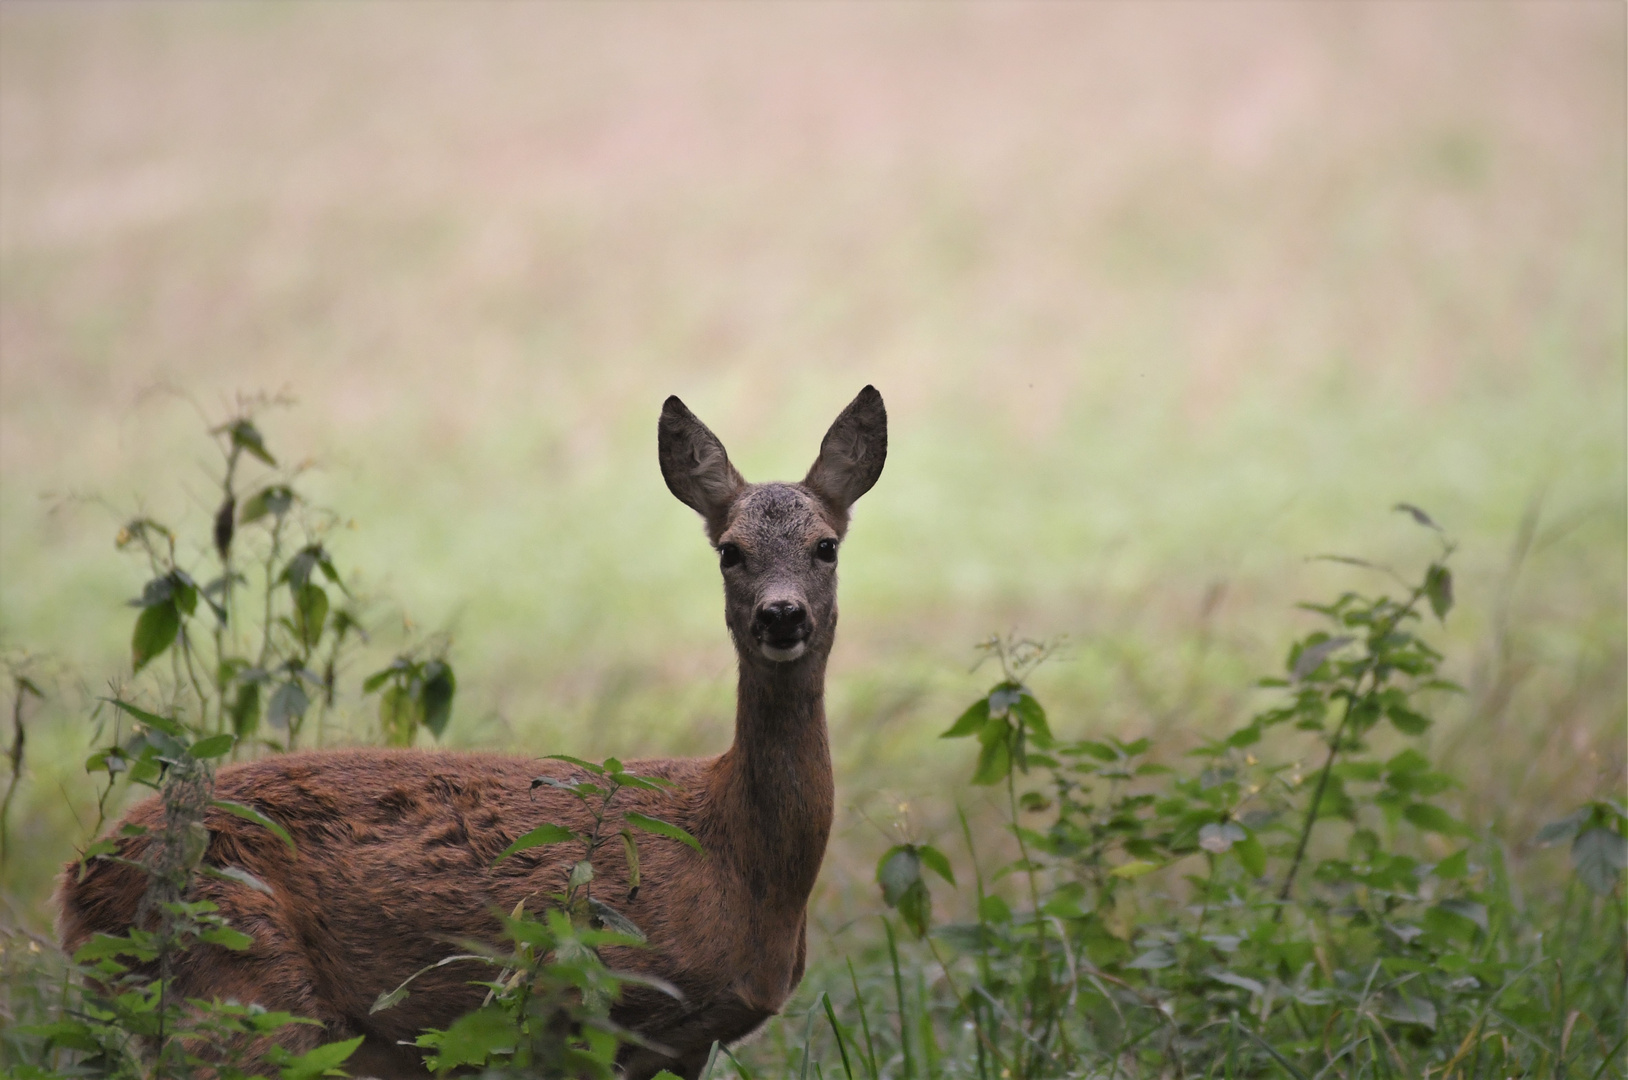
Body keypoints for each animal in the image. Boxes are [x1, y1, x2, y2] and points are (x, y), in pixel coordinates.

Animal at [57, 384, 892, 1075]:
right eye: (729, 552)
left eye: (826, 546)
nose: (780, 615)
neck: (737, 857)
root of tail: (76, 884)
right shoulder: (592, 1003)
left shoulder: (682, 1047)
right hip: (237, 978)